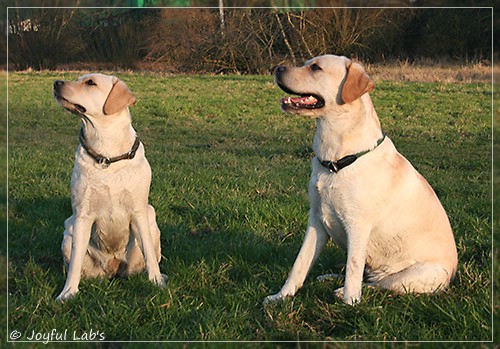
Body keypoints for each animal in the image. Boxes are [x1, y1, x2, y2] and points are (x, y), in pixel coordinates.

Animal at [52, 72, 167, 300]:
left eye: (90, 83)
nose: (56, 83)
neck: (107, 153)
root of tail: (113, 267)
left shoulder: (139, 211)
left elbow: (150, 254)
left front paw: (157, 282)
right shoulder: (82, 215)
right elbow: (75, 262)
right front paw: (68, 293)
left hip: (151, 218)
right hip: (68, 229)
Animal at [266, 55, 458, 304]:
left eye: (316, 67)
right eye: (307, 63)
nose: (278, 68)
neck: (336, 161)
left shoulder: (357, 225)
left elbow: (353, 268)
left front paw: (349, 303)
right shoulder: (316, 219)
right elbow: (300, 264)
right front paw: (281, 296)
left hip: (416, 274)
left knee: (378, 284)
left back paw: (342, 291)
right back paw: (328, 277)